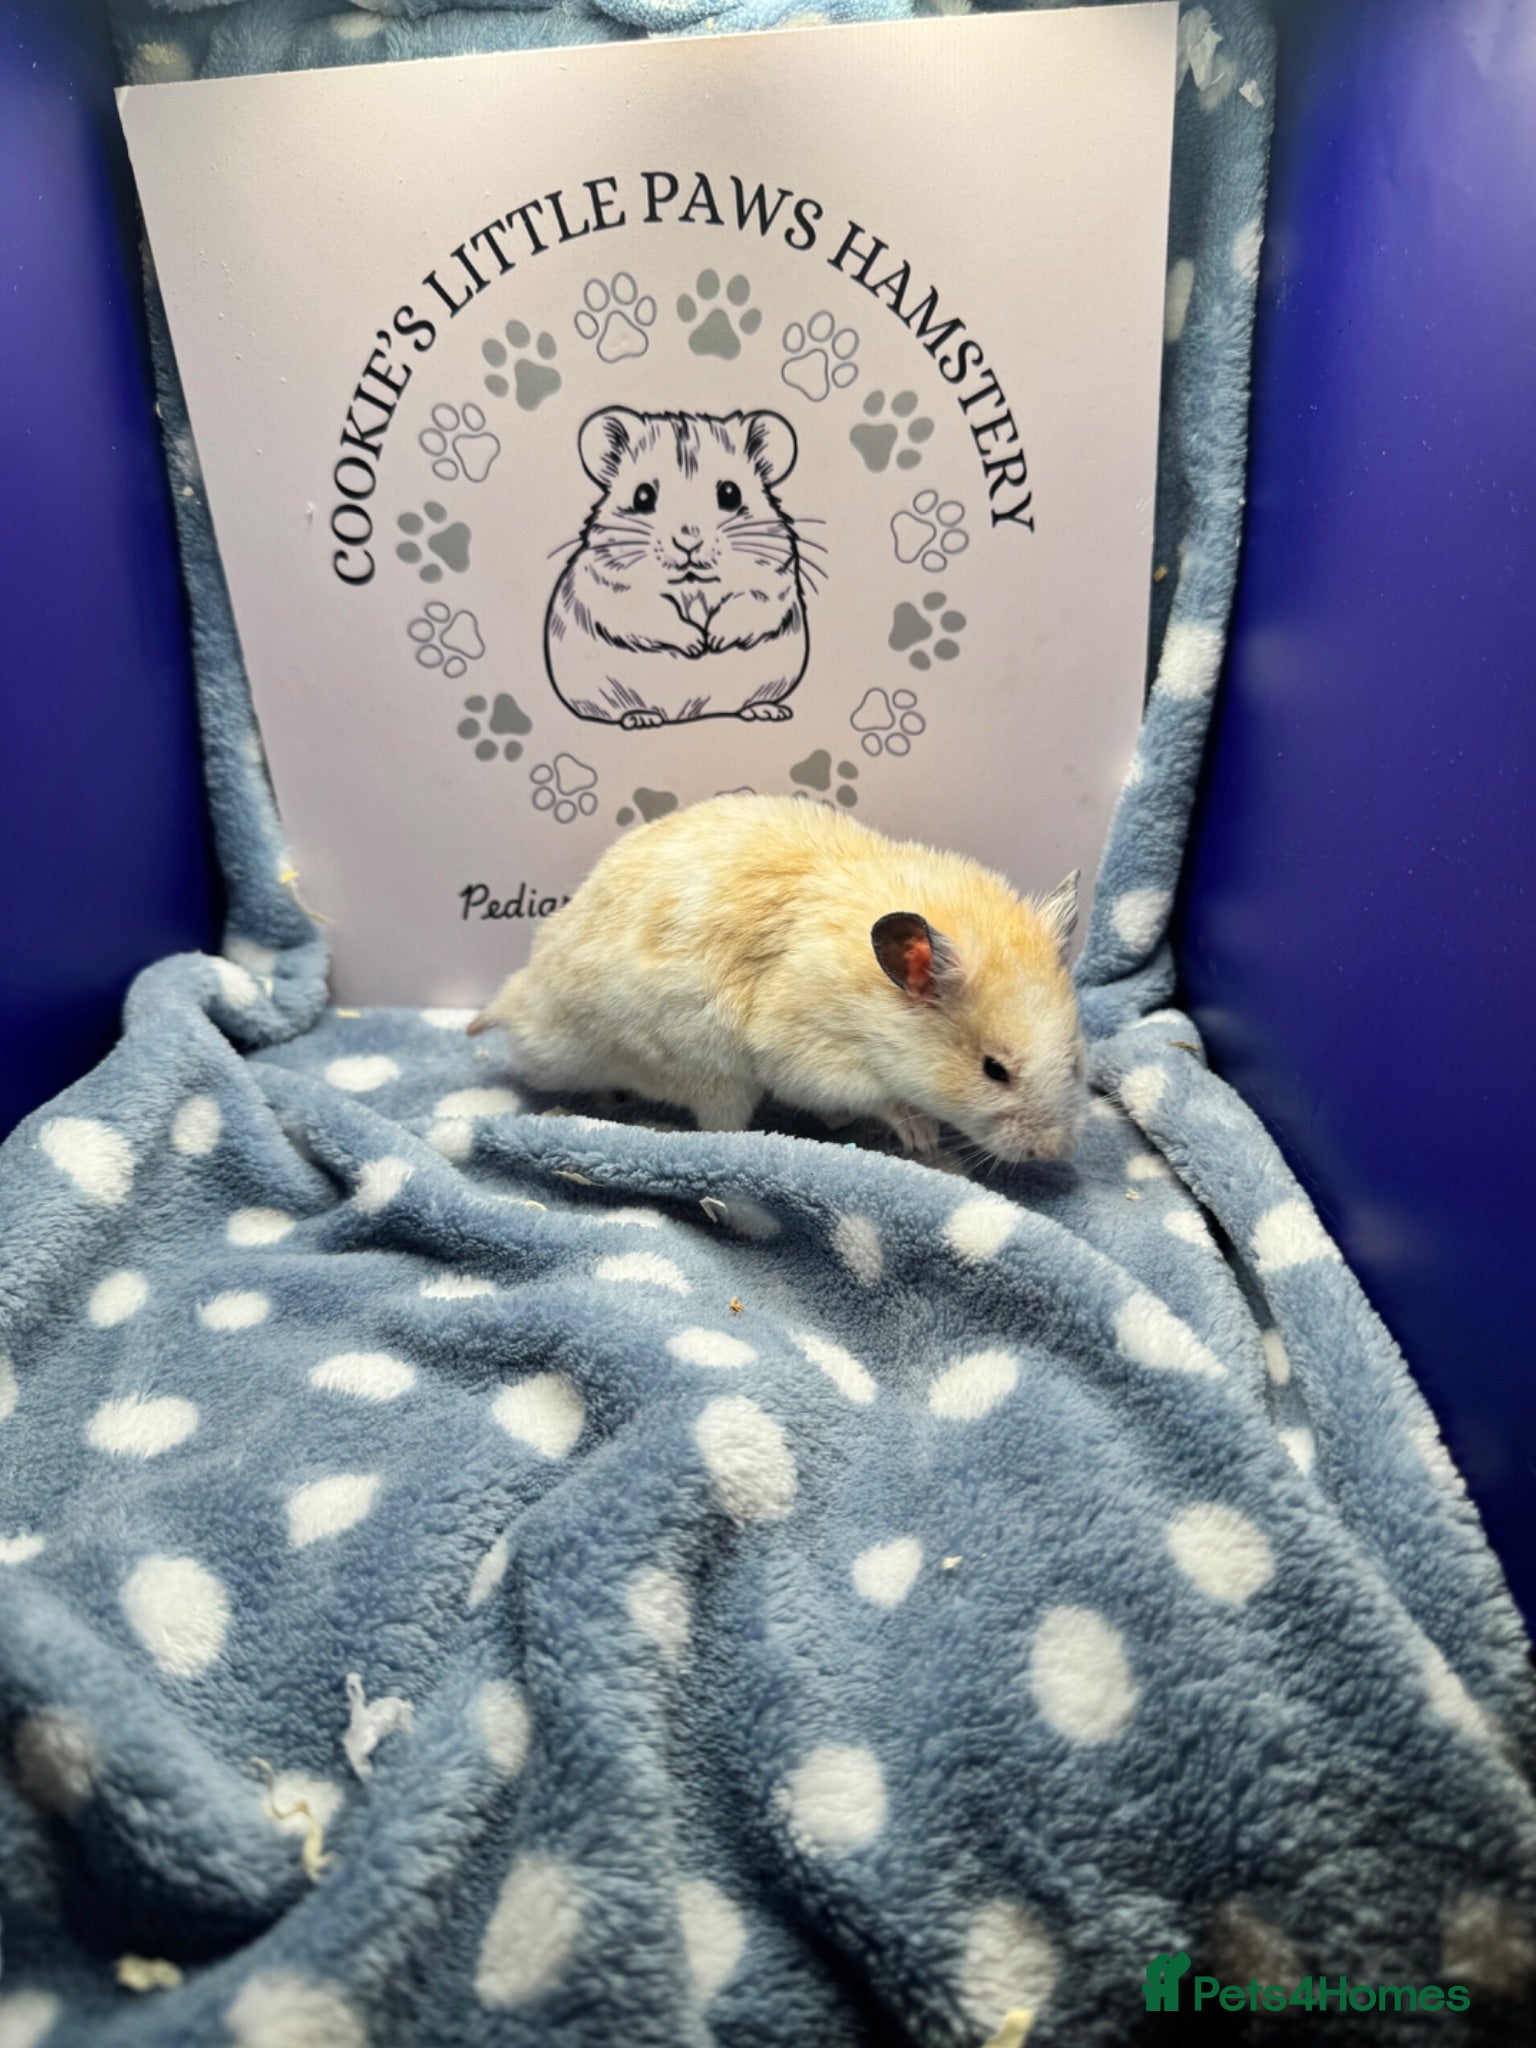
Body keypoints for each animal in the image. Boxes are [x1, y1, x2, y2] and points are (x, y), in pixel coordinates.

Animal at [468, 795, 1088, 1165]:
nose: (1052, 1152)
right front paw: (921, 1133)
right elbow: (883, 1099)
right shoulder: (810, 1054)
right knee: (714, 1130)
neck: (877, 1011)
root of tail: (527, 997)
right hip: (711, 1074)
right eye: (993, 1070)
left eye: (1075, 1060)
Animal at [544, 409, 811, 729]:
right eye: (642, 496)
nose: (688, 541)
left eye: (730, 493)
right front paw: (697, 645)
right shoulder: (613, 588)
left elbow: (746, 604)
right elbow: (653, 613)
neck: (692, 583)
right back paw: (641, 717)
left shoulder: (772, 580)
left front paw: (714, 642)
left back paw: (766, 711)